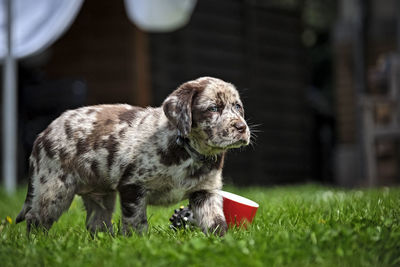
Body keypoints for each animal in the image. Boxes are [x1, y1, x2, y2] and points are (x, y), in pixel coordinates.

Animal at [17, 77, 252, 237]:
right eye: (213, 108)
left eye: (238, 106)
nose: (242, 128)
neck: (188, 152)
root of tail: (42, 134)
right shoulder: (132, 186)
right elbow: (136, 222)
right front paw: (138, 242)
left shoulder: (205, 192)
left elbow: (215, 222)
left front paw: (223, 243)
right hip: (54, 189)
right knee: (35, 219)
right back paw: (36, 243)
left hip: (101, 196)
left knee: (96, 223)